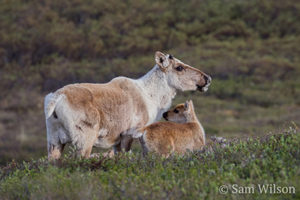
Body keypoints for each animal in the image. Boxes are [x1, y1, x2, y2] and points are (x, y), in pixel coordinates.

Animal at [44, 52, 211, 161]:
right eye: (179, 67)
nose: (207, 78)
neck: (152, 97)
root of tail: (56, 98)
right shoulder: (129, 133)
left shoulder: (116, 142)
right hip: (84, 138)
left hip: (54, 141)